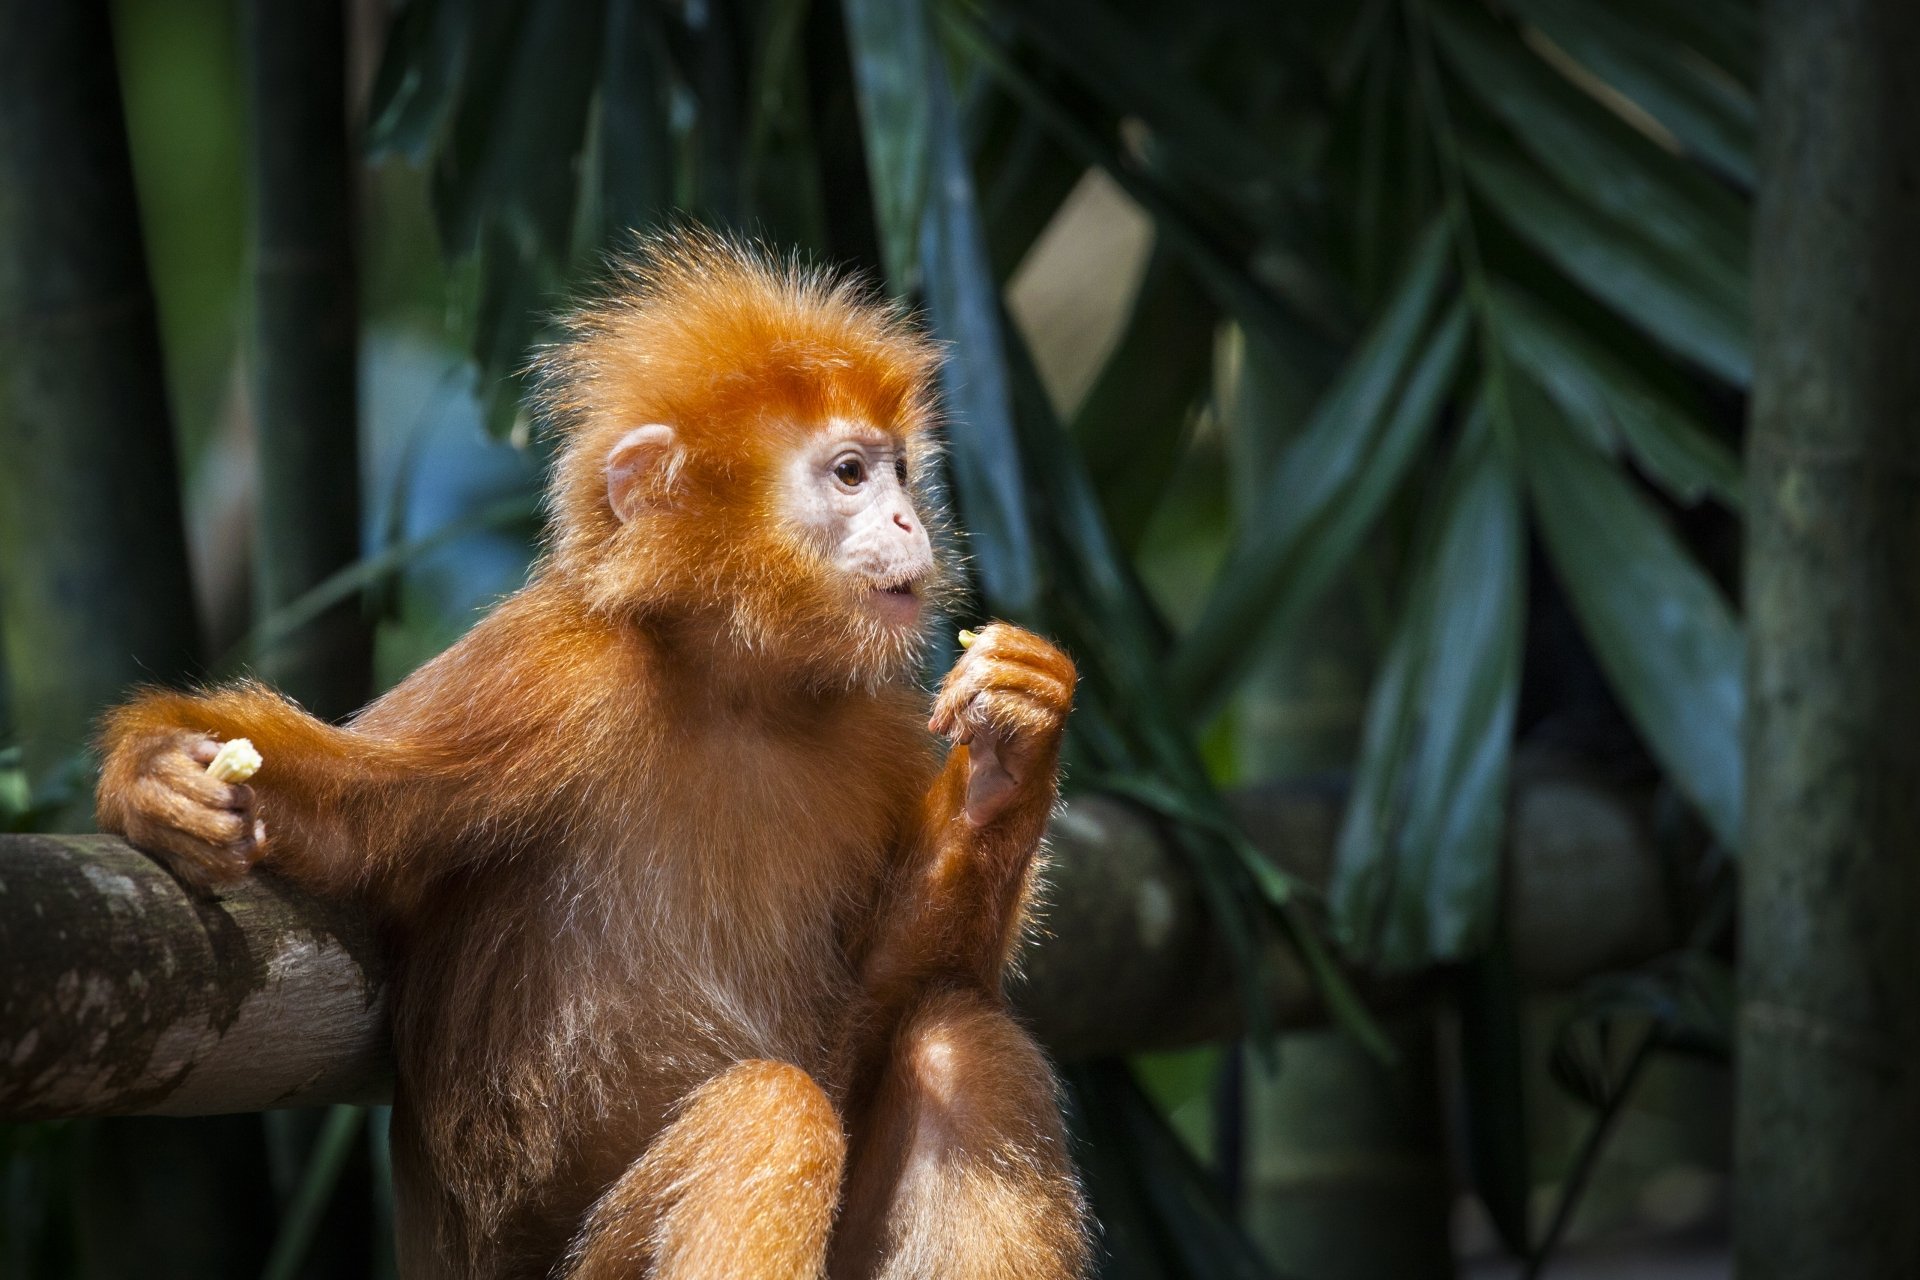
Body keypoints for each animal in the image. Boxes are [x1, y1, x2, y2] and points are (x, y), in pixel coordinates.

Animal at [97, 233, 1090, 1280]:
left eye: (900, 472)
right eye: (853, 474)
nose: (909, 521)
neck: (733, 692)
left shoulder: (876, 731)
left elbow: (895, 993)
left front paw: (1012, 754)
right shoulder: (547, 670)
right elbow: (351, 815)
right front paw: (158, 776)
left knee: (958, 1045)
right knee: (771, 1109)